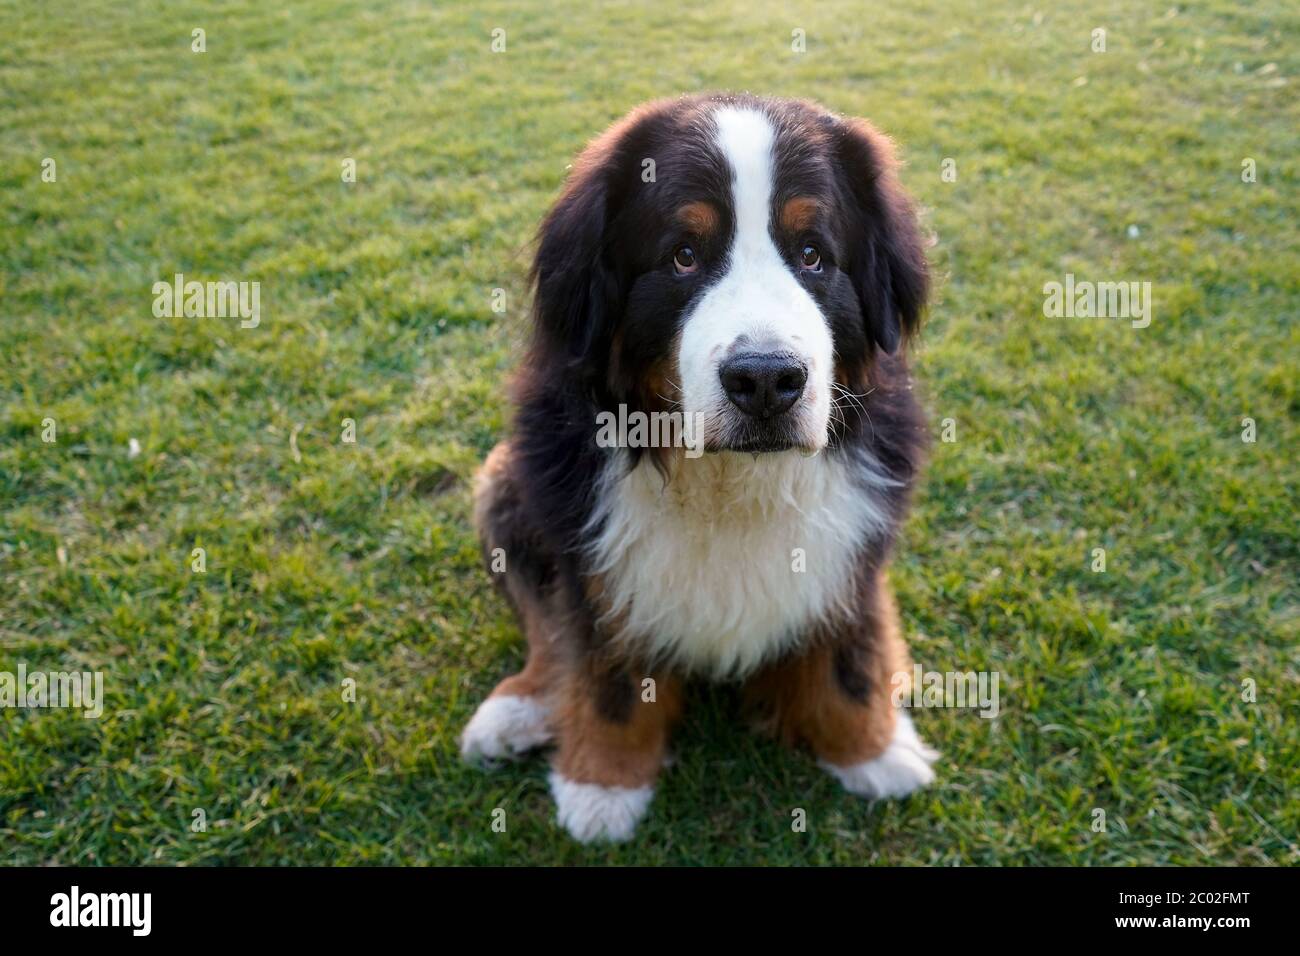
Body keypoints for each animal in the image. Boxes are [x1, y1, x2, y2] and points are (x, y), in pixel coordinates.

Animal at [462, 91, 941, 842]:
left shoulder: (855, 544)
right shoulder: (592, 551)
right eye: (683, 256)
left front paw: (873, 749)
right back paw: (521, 707)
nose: (768, 379)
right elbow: (606, 671)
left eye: (813, 255)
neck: (726, 482)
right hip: (504, 483)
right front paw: (602, 785)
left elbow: (848, 656)